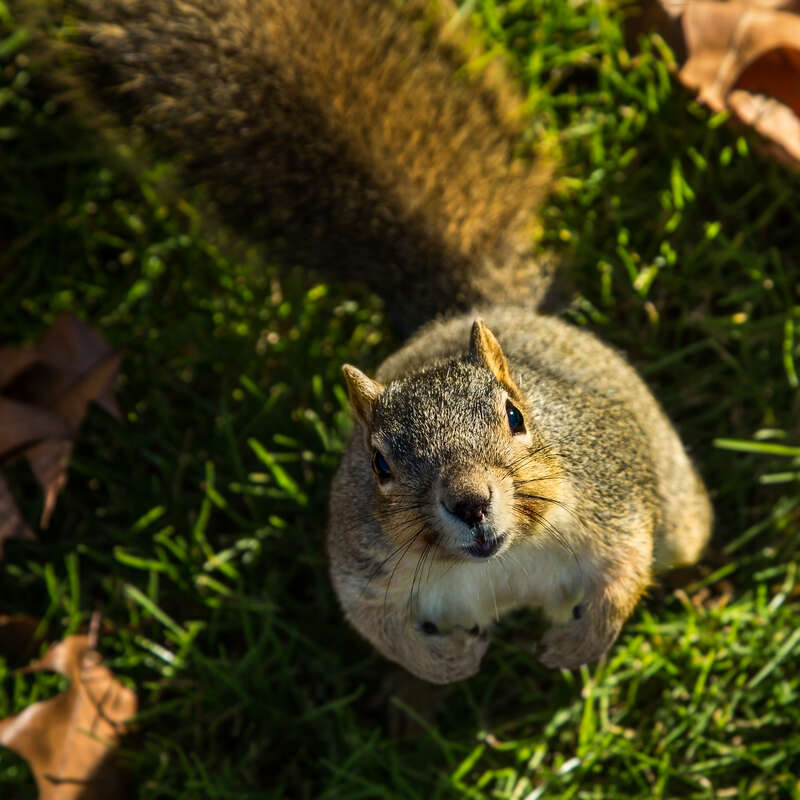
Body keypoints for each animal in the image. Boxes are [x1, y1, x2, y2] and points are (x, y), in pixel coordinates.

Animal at [35, 0, 713, 682]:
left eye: (516, 416)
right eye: (379, 463)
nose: (470, 502)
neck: (502, 560)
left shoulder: (611, 494)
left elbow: (624, 570)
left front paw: (578, 645)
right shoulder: (366, 566)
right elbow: (380, 628)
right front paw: (451, 662)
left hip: (675, 504)